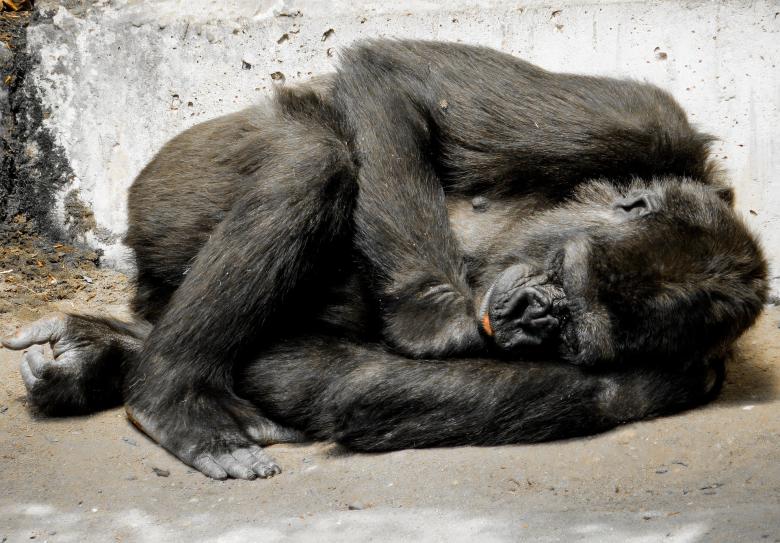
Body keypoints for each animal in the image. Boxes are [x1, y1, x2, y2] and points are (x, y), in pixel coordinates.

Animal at [1, 40, 768, 480]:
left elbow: (352, 386)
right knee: (313, 155)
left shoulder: (682, 375)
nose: (540, 315)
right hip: (167, 188)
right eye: (560, 273)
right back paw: (171, 398)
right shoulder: (645, 119)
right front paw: (440, 320)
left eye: (577, 333)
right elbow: (397, 80)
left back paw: (119, 362)